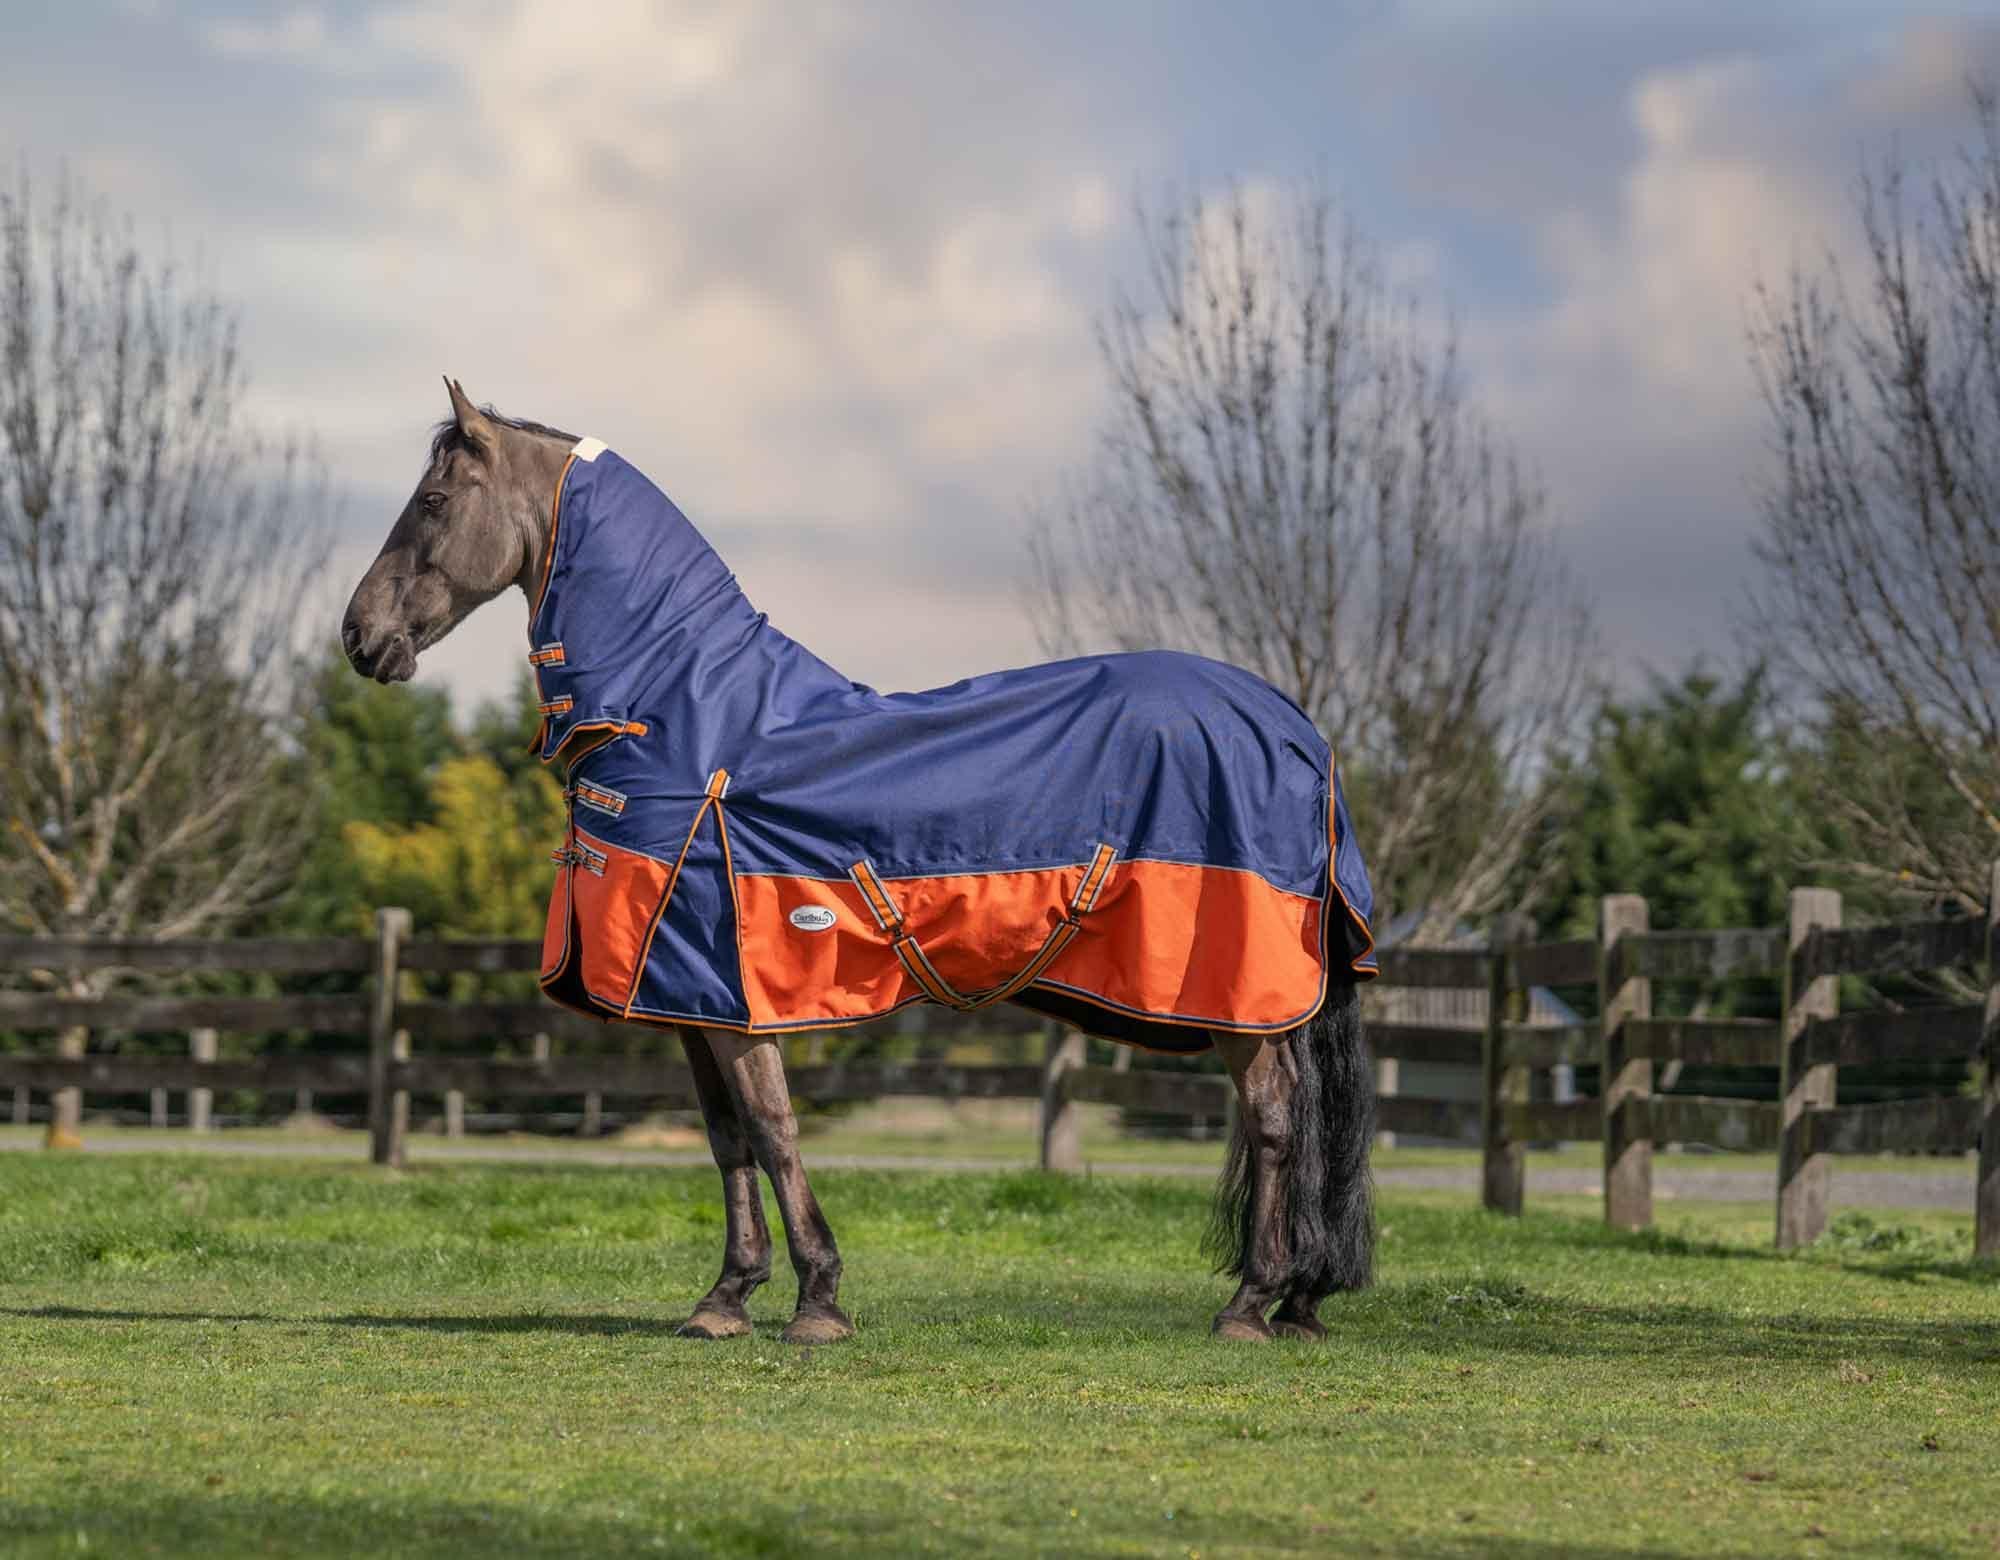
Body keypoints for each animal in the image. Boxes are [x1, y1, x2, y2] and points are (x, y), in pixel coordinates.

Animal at [341, 379, 1378, 1344]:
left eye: (434, 498)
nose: (358, 637)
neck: (684, 713)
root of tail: (1294, 729)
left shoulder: (731, 994)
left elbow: (773, 1129)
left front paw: (817, 1299)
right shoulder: (685, 995)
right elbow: (725, 1137)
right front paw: (726, 1298)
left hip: (1242, 998)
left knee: (1275, 1119)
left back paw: (1251, 1304)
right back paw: (1297, 1300)